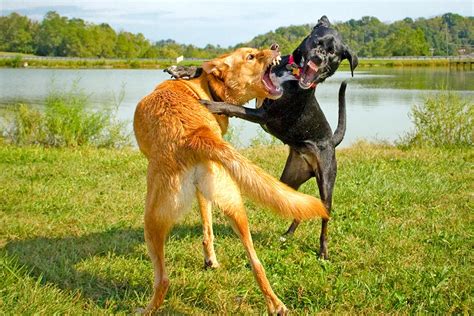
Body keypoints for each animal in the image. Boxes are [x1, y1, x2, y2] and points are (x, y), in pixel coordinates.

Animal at [131, 47, 328, 314]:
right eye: (250, 56)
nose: (276, 47)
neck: (205, 88)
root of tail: (196, 134)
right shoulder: (204, 192)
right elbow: (207, 227)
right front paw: (210, 260)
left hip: (152, 220)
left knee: (162, 279)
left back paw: (147, 308)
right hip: (235, 206)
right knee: (256, 263)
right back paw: (276, 304)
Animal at [167, 16, 356, 260]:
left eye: (333, 53)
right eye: (317, 42)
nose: (319, 58)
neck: (290, 74)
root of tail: (332, 142)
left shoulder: (263, 114)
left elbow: (233, 107)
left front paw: (211, 104)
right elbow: (206, 70)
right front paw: (183, 69)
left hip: (326, 182)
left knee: (325, 215)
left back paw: (323, 251)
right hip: (289, 178)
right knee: (300, 206)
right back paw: (288, 235)